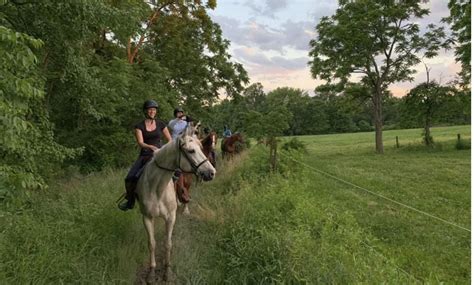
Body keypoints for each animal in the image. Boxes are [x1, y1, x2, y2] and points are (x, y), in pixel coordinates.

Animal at [135, 123, 217, 280]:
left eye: (201, 147)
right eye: (191, 150)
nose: (211, 173)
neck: (157, 187)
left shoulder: (170, 217)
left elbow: (168, 244)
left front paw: (167, 271)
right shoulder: (146, 217)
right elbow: (152, 243)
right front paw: (152, 271)